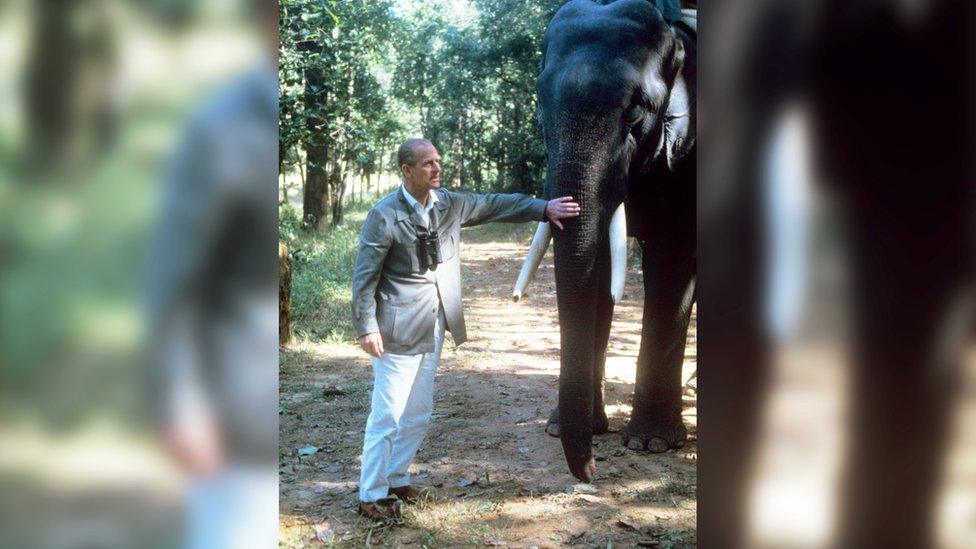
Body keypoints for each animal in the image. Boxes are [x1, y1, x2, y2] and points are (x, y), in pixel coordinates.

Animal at [516, 0, 696, 480]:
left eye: (636, 112)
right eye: (540, 107)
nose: (592, 473)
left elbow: (672, 260)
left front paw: (652, 443)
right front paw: (564, 430)